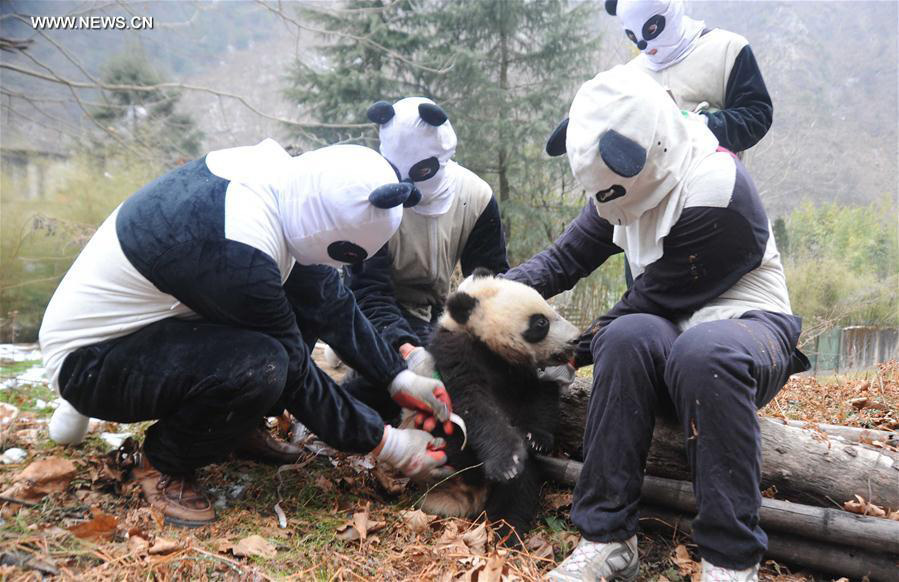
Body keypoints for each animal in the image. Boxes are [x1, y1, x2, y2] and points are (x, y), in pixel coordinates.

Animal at [413, 268, 580, 542]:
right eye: (540, 323)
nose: (577, 339)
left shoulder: (524, 372)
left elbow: (540, 396)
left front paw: (535, 439)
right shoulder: (457, 354)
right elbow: (475, 405)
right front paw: (507, 462)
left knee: (520, 489)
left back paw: (507, 529)